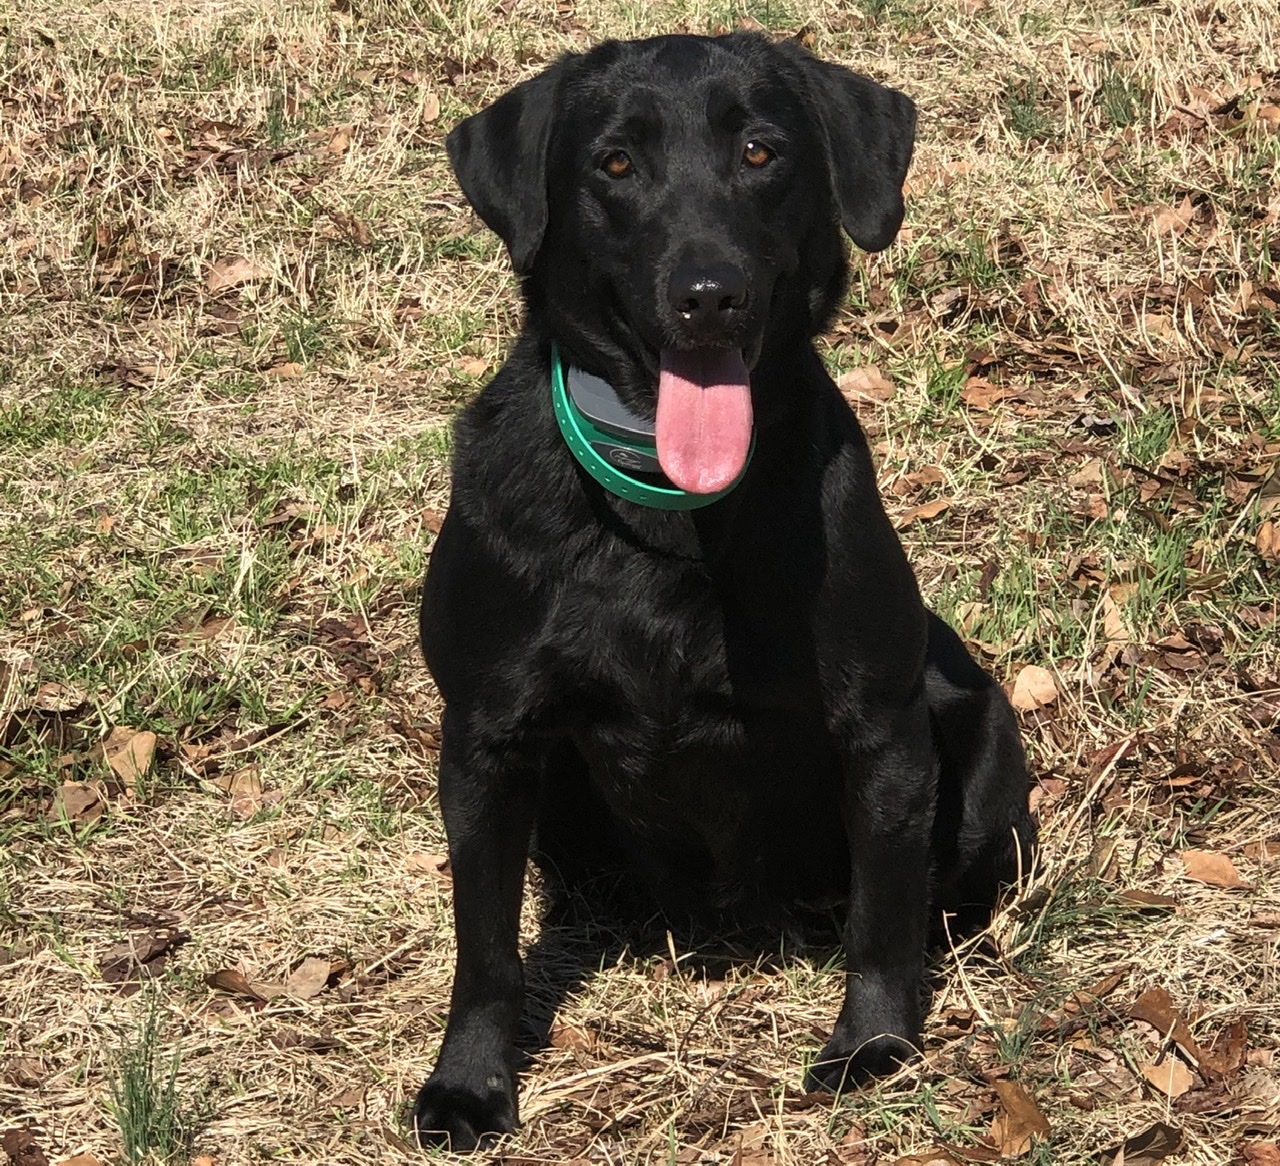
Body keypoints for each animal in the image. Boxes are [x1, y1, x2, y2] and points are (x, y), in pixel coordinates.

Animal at [414, 31, 1034, 1151]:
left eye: (760, 152)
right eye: (614, 163)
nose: (709, 293)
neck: (668, 510)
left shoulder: (881, 728)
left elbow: (883, 910)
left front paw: (873, 1043)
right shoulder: (485, 738)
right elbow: (483, 944)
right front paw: (470, 1081)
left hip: (981, 740)